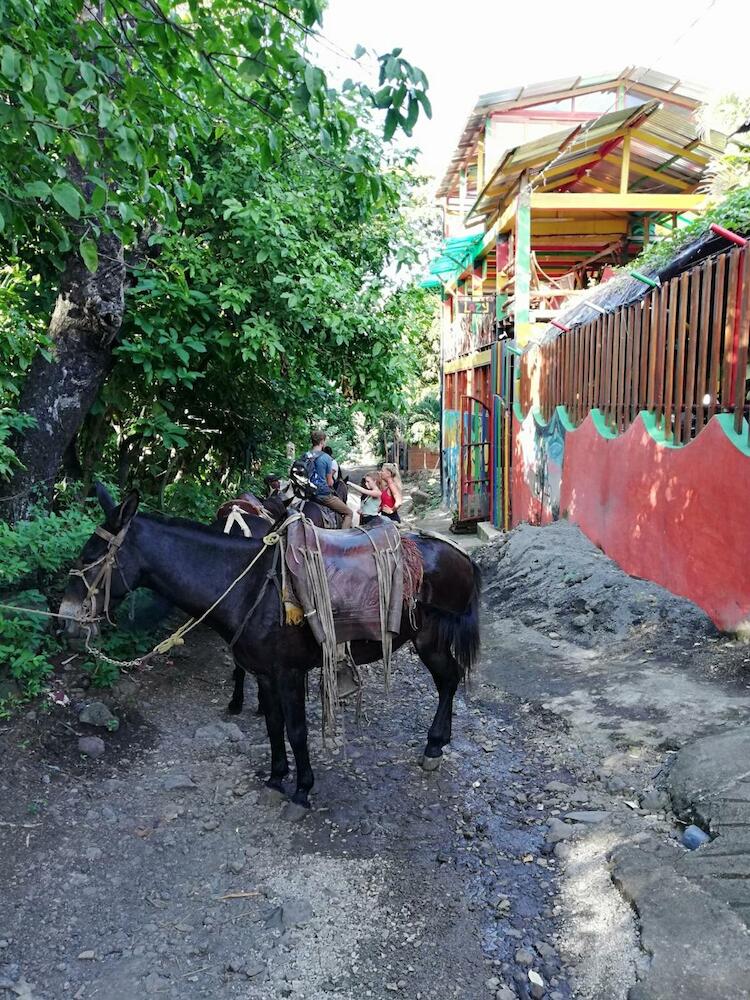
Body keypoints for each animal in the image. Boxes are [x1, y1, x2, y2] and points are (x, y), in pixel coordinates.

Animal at [58, 488, 482, 808]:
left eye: (90, 558)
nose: (65, 620)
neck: (249, 588)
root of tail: (460, 554)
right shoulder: (263, 673)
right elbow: (273, 724)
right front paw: (277, 778)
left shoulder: (289, 673)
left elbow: (296, 730)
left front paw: (302, 790)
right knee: (448, 680)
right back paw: (436, 745)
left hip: (430, 640)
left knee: (449, 680)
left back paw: (433, 747)